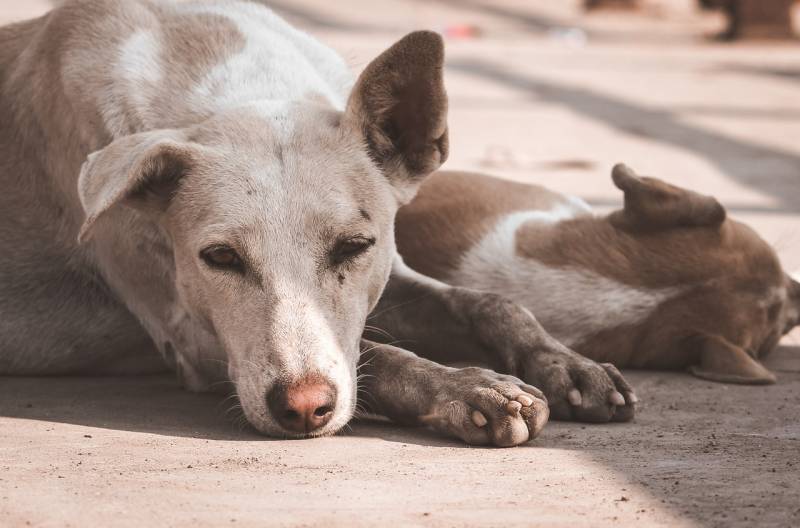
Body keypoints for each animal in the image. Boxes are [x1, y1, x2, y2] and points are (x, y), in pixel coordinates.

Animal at [0, 0, 636, 448]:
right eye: (220, 257)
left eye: (353, 246)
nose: (302, 408)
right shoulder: (193, 337)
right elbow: (379, 356)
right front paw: (472, 388)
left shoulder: (388, 275)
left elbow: (489, 302)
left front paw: (564, 364)